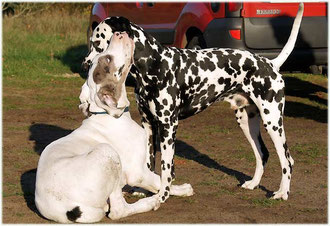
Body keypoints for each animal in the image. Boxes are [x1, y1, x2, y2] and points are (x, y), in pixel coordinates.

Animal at [34, 31, 192, 224]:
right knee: (118, 210)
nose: (119, 33)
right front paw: (180, 190)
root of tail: (67, 211)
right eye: (108, 59)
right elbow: (161, 181)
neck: (108, 115)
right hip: (108, 154)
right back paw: (150, 202)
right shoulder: (137, 172)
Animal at [82, 3, 304, 202]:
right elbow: (149, 162)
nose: (85, 64)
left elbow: (166, 167)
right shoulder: (149, 125)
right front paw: (142, 190)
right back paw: (253, 184)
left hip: (272, 122)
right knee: (262, 154)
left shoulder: (168, 126)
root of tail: (270, 64)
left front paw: (163, 194)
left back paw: (282, 193)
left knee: (287, 160)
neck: (155, 63)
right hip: (247, 122)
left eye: (98, 43)